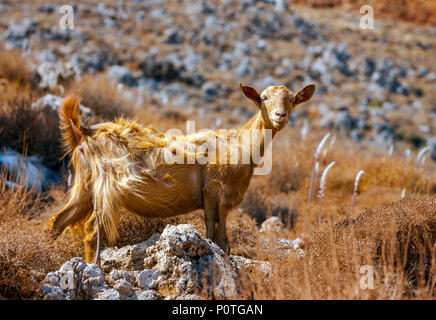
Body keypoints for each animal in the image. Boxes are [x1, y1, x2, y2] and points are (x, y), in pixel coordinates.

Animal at [47, 82, 316, 262]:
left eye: (292, 100)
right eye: (263, 98)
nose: (280, 116)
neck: (238, 144)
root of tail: (85, 132)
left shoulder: (221, 201)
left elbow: (223, 239)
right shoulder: (213, 192)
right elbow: (215, 236)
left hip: (84, 187)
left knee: (58, 220)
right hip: (110, 187)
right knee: (92, 231)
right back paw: (94, 268)